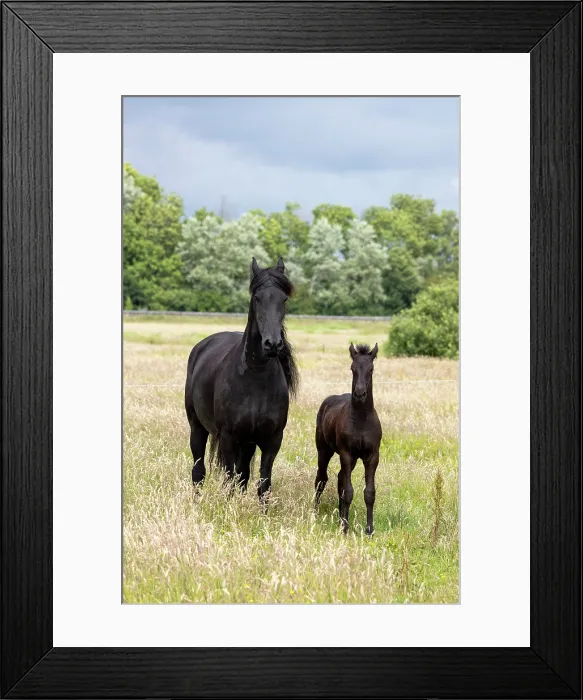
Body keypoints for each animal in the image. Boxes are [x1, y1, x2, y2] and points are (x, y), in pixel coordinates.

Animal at [184, 257, 298, 504]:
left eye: (283, 299)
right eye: (257, 298)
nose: (273, 344)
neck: (255, 378)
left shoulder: (271, 440)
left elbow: (263, 485)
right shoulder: (228, 437)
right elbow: (228, 481)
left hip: (247, 444)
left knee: (243, 474)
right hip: (197, 427)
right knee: (199, 471)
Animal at [314, 342, 382, 534]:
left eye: (371, 369)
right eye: (352, 368)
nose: (359, 393)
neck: (361, 419)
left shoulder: (372, 456)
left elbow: (369, 492)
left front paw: (369, 529)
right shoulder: (346, 453)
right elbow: (349, 490)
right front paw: (345, 528)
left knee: (339, 478)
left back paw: (339, 516)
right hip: (324, 450)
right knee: (321, 478)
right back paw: (315, 513)